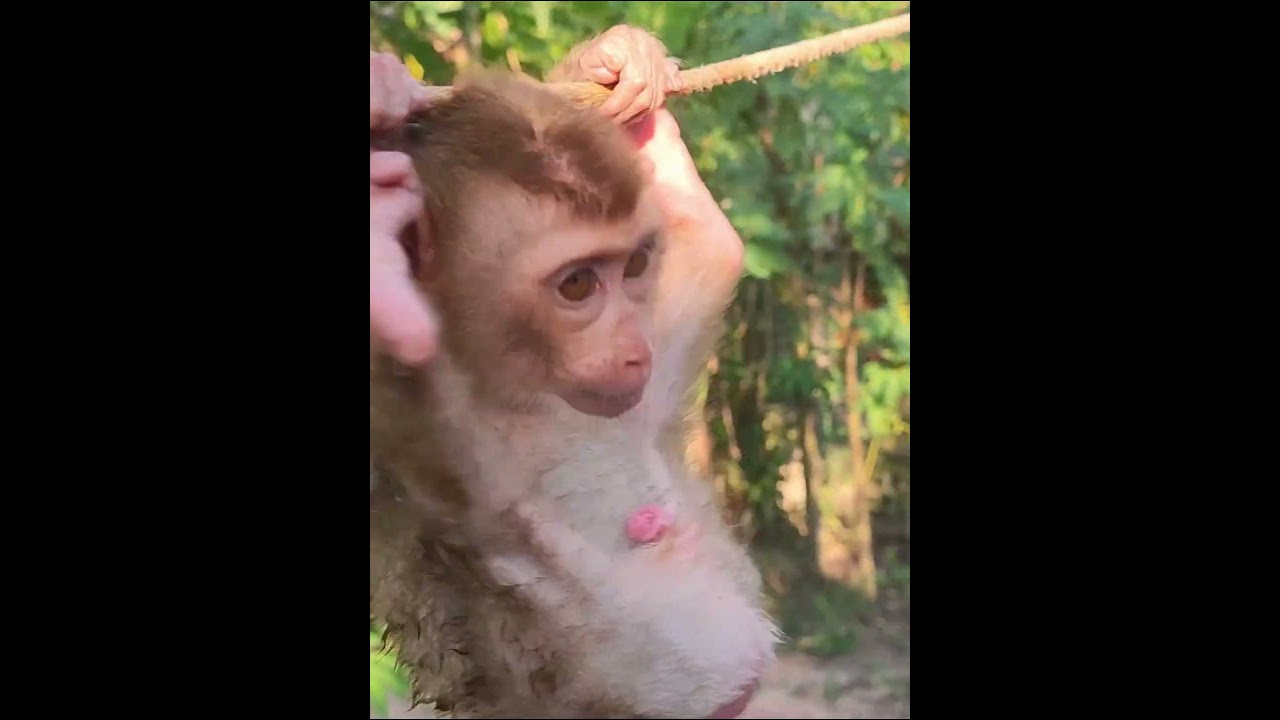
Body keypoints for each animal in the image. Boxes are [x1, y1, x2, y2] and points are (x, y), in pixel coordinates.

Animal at [368, 67, 778, 718]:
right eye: (578, 284)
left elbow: (715, 246)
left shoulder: (653, 367)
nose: (634, 348)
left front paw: (622, 65)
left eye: (633, 266)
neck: (532, 401)